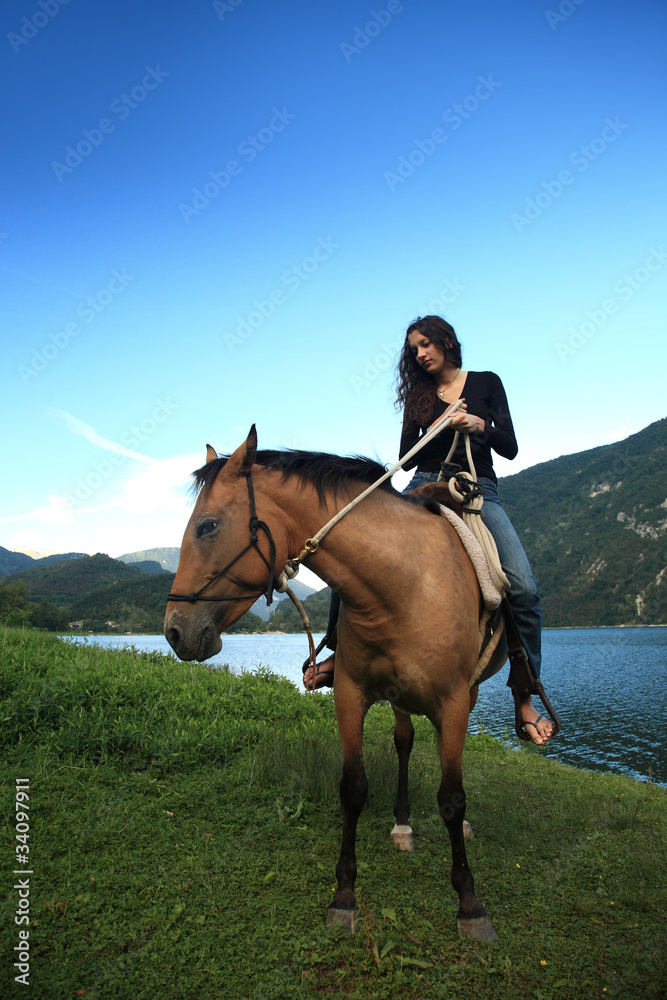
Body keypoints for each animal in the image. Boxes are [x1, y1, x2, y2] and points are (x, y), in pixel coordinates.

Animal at [164, 426, 500, 940]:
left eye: (207, 527)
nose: (174, 631)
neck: (403, 584)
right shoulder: (350, 696)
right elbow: (353, 789)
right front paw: (344, 896)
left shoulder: (455, 700)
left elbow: (452, 797)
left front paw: (469, 903)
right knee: (404, 741)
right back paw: (402, 825)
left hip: (470, 691)